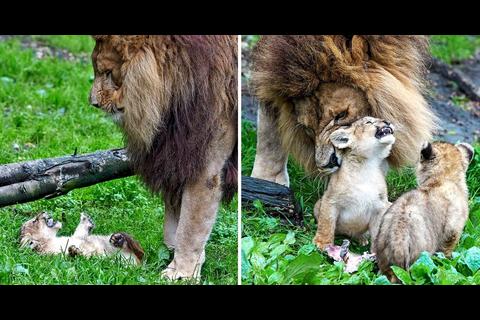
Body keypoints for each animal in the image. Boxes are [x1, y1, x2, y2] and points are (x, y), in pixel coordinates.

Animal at [88, 35, 238, 280]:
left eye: (108, 72)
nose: (93, 103)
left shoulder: (205, 166)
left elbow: (189, 228)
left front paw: (180, 273)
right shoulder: (177, 156)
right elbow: (174, 222)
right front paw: (184, 261)